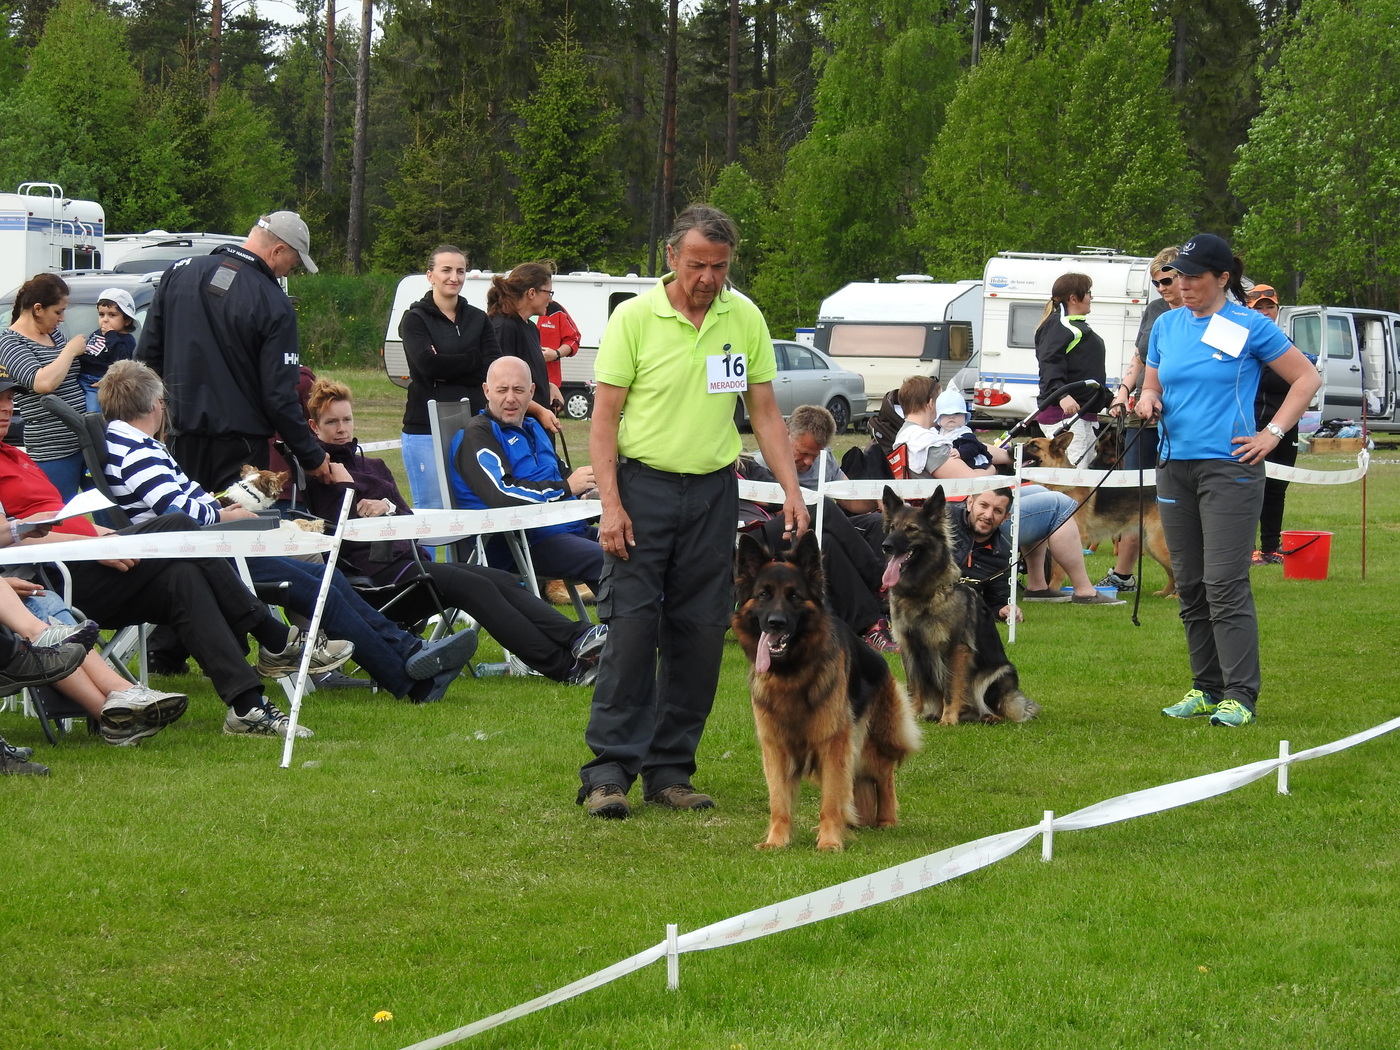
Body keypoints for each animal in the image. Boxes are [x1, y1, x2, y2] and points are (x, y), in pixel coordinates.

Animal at [733, 530, 921, 852]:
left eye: (794, 596)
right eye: (764, 595)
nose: (775, 623)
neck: (792, 674)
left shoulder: (833, 741)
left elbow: (832, 799)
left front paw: (830, 841)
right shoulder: (775, 746)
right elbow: (779, 800)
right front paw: (777, 840)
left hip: (869, 743)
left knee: (883, 773)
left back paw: (885, 820)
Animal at [880, 487, 1041, 725]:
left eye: (911, 529)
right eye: (892, 528)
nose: (886, 546)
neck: (923, 592)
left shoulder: (955, 649)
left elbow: (951, 687)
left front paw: (948, 720)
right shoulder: (909, 648)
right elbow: (914, 688)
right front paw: (914, 717)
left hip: (998, 674)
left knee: (1002, 709)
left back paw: (988, 716)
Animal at [1019, 430, 1177, 597]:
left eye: (1034, 446)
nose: (1012, 449)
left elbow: (1059, 570)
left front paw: (1053, 590)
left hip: (1157, 544)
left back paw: (1176, 596)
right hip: (1151, 545)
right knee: (1171, 573)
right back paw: (1165, 593)